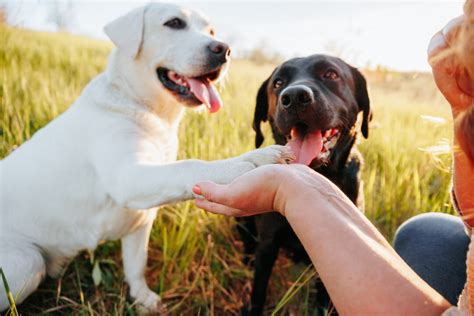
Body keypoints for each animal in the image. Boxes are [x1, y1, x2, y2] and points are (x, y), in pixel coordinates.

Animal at [0, 3, 292, 314]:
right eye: (174, 23)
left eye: (211, 30)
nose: (223, 50)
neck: (145, 109)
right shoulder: (128, 178)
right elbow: (190, 166)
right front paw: (241, 166)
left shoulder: (139, 221)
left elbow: (136, 266)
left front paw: (142, 299)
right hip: (26, 262)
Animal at [239, 55, 372, 316]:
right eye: (278, 82)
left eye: (331, 74)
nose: (294, 97)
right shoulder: (268, 243)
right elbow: (259, 289)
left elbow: (323, 296)